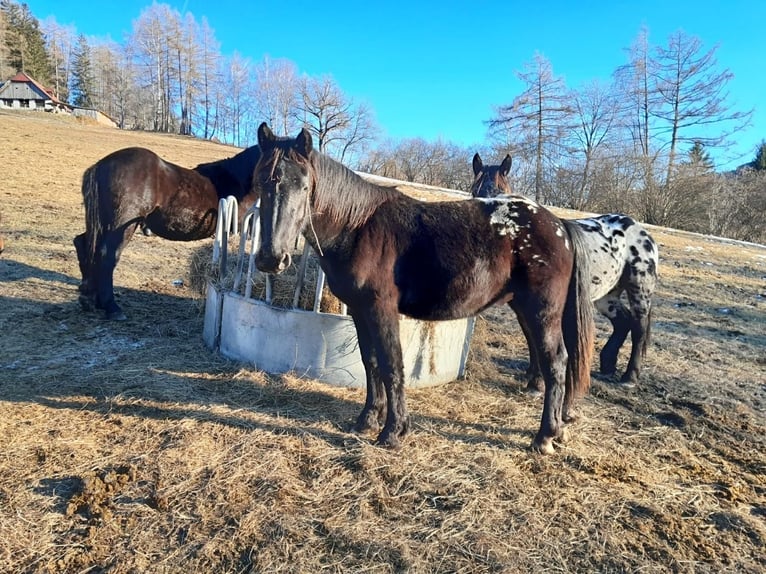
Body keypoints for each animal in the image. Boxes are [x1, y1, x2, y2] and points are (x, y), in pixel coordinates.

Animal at [75, 144, 260, 322]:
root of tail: (101, 165)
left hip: (101, 224)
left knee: (84, 245)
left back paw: (89, 299)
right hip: (122, 225)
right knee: (107, 255)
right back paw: (111, 307)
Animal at [255, 124, 596, 456]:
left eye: (304, 187)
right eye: (260, 184)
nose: (272, 258)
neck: (358, 227)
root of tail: (559, 225)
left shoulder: (381, 309)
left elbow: (392, 364)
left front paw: (393, 432)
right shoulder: (359, 311)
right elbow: (371, 362)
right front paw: (368, 420)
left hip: (542, 312)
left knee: (556, 363)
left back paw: (544, 437)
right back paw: (557, 430)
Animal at [472, 152, 656, 388]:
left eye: (499, 190)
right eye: (474, 190)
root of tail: (640, 230)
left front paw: (537, 382)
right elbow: (531, 338)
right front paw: (532, 377)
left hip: (639, 290)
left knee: (639, 328)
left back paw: (630, 377)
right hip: (605, 296)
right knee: (623, 321)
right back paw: (607, 365)